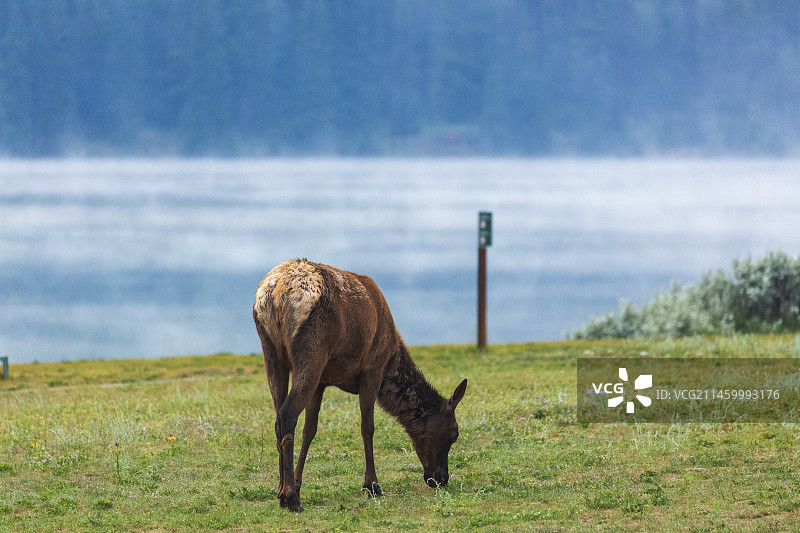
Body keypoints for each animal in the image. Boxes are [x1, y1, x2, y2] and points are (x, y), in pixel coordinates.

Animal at [253, 259, 468, 512]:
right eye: (454, 433)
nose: (440, 478)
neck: (391, 360)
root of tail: (277, 294)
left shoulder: (322, 381)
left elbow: (310, 430)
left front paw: (297, 483)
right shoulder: (372, 369)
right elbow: (368, 427)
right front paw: (372, 485)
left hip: (272, 354)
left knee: (278, 416)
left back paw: (281, 490)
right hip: (313, 350)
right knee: (287, 414)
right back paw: (290, 498)